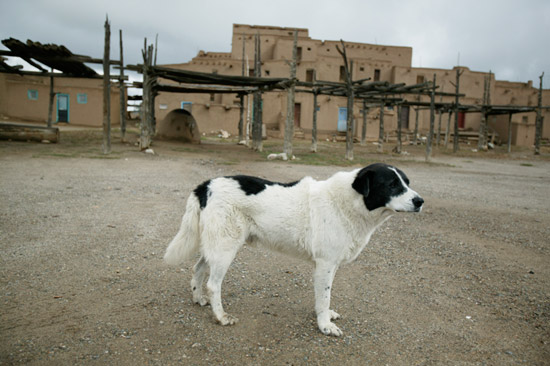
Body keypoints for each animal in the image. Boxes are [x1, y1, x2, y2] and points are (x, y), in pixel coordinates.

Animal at [162, 164, 424, 336]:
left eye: (407, 183)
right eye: (392, 185)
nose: (420, 201)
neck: (348, 202)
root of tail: (206, 185)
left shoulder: (328, 265)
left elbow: (323, 298)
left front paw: (325, 316)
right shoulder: (325, 264)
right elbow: (324, 297)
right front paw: (325, 326)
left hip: (216, 245)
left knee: (198, 269)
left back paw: (198, 298)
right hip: (226, 248)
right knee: (213, 284)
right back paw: (221, 316)